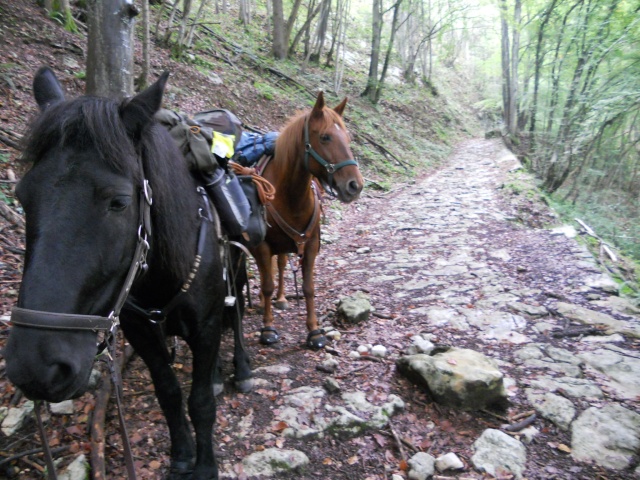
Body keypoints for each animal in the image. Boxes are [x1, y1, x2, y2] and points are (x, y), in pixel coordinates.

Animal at [3, 68, 251, 480]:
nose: (36, 367)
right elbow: (169, 394)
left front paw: (204, 465)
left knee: (237, 310)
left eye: (118, 202)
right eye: (23, 197)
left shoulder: (206, 325)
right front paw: (181, 455)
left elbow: (200, 401)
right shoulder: (142, 332)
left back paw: (242, 367)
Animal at [251, 94, 362, 348]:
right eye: (325, 137)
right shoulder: (262, 246)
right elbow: (267, 284)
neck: (289, 195)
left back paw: (282, 298)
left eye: (348, 138)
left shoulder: (310, 244)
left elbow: (308, 288)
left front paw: (314, 331)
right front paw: (268, 328)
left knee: (281, 265)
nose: (355, 185)